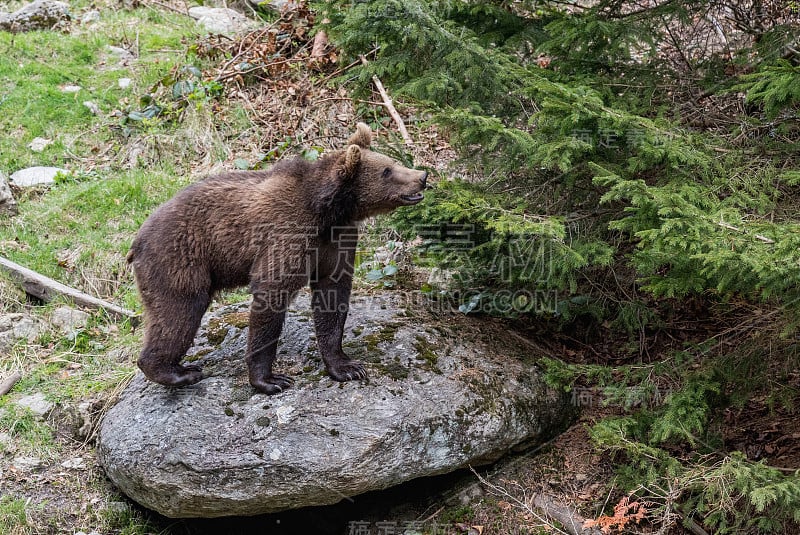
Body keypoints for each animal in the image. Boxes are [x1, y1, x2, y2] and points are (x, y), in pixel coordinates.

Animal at [128, 123, 428, 396]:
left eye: (391, 162)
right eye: (387, 171)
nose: (422, 175)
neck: (327, 212)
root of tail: (137, 240)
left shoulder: (336, 241)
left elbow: (332, 297)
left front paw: (347, 367)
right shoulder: (287, 234)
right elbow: (271, 294)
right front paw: (270, 379)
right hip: (179, 257)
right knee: (179, 310)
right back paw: (178, 372)